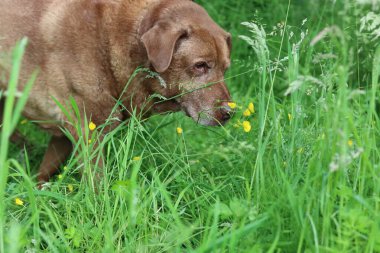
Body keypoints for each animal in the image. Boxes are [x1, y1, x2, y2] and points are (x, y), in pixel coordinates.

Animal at [0, 0, 232, 183]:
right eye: (200, 65)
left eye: (225, 69)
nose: (230, 113)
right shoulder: (88, 130)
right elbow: (97, 186)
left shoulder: (65, 136)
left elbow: (43, 174)